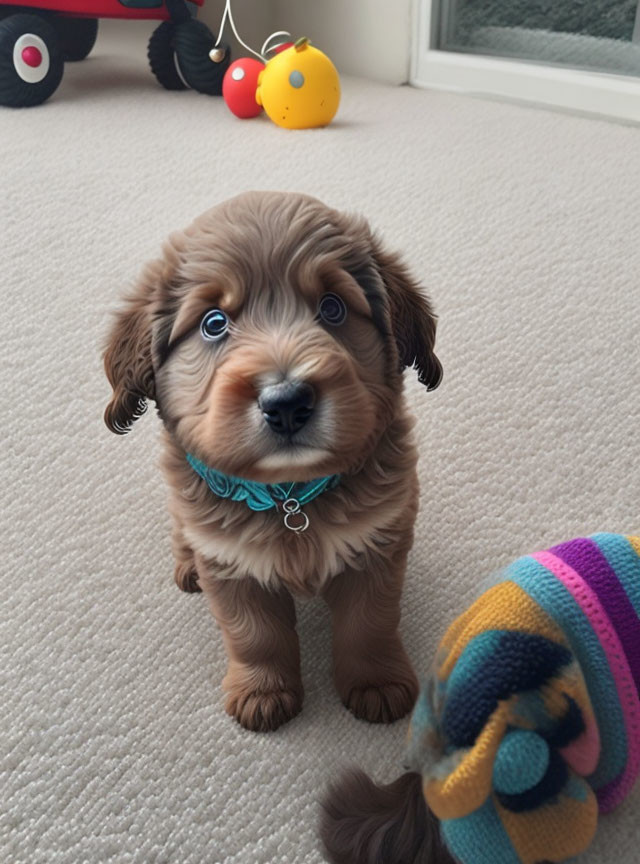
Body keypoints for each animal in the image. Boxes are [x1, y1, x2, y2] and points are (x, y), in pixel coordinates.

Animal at [105, 192, 442, 732]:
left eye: (332, 307)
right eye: (213, 323)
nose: (287, 403)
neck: (290, 495)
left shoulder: (377, 547)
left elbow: (368, 623)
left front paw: (375, 682)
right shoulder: (231, 565)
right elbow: (255, 634)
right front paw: (262, 692)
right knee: (181, 527)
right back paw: (186, 565)